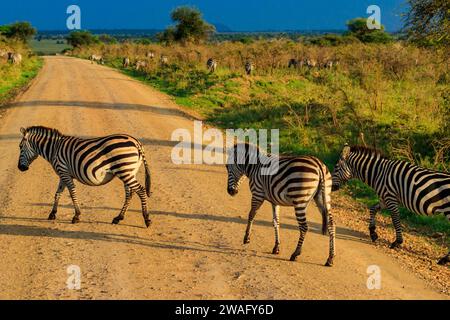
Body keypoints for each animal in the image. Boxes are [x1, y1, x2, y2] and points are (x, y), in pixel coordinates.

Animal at [17, 125, 153, 228]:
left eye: (20, 147)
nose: (20, 168)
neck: (54, 149)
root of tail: (136, 143)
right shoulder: (63, 174)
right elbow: (58, 194)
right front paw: (52, 214)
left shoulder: (64, 172)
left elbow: (72, 193)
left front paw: (76, 216)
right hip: (129, 171)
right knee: (130, 193)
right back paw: (118, 218)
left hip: (124, 171)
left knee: (140, 190)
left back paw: (146, 219)